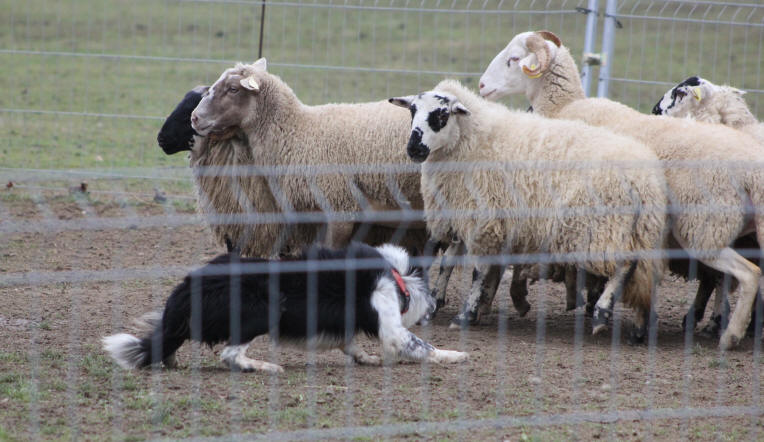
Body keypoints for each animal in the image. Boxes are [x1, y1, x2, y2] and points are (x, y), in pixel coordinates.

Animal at [104, 242, 468, 372]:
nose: (434, 304)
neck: (398, 278)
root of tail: (187, 291)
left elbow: (349, 343)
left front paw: (366, 357)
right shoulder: (393, 329)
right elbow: (423, 346)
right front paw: (455, 355)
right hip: (262, 311)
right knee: (230, 355)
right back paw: (265, 366)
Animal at [390, 80, 664, 338]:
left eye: (442, 115)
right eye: (412, 110)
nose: (414, 149)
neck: (471, 141)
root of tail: (646, 181)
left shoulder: (484, 221)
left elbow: (478, 271)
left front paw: (465, 315)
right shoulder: (462, 215)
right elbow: (447, 263)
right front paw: (433, 305)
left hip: (604, 227)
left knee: (624, 265)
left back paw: (601, 314)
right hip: (629, 229)